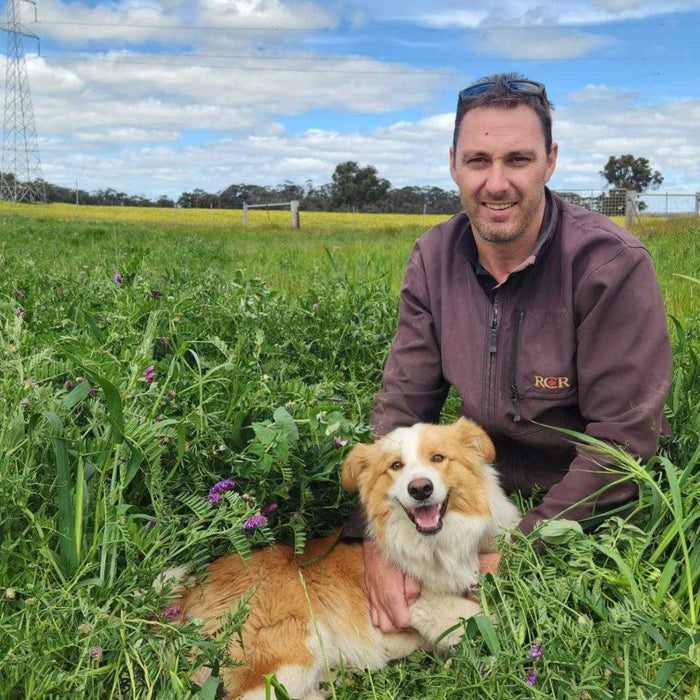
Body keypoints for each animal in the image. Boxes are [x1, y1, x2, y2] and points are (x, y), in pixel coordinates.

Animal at [170, 418, 520, 696]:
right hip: (296, 649)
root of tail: (187, 591)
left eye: (438, 458)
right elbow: (484, 616)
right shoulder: (419, 603)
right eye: (396, 466)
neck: (439, 543)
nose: (420, 488)